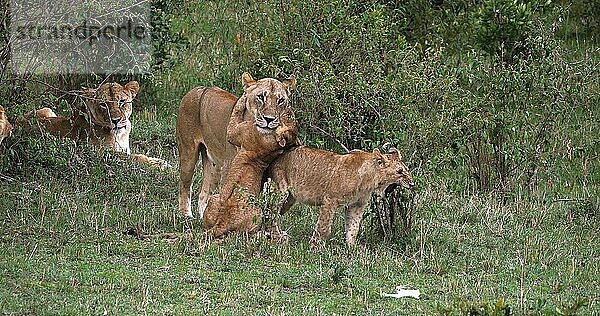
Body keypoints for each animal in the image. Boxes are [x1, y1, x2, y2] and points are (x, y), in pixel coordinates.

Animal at [204, 96, 300, 237]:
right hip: (215, 198)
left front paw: (243, 97)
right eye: (291, 117)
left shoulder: (234, 132)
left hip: (256, 211)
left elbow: (236, 113)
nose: (289, 107)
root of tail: (221, 222)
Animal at [270, 147, 414, 246]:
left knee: (276, 213)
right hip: (281, 190)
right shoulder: (330, 200)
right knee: (271, 212)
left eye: (406, 169)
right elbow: (324, 226)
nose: (412, 183)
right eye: (399, 172)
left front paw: (351, 247)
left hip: (290, 199)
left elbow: (353, 227)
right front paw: (315, 247)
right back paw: (276, 237)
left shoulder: (357, 204)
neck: (371, 179)